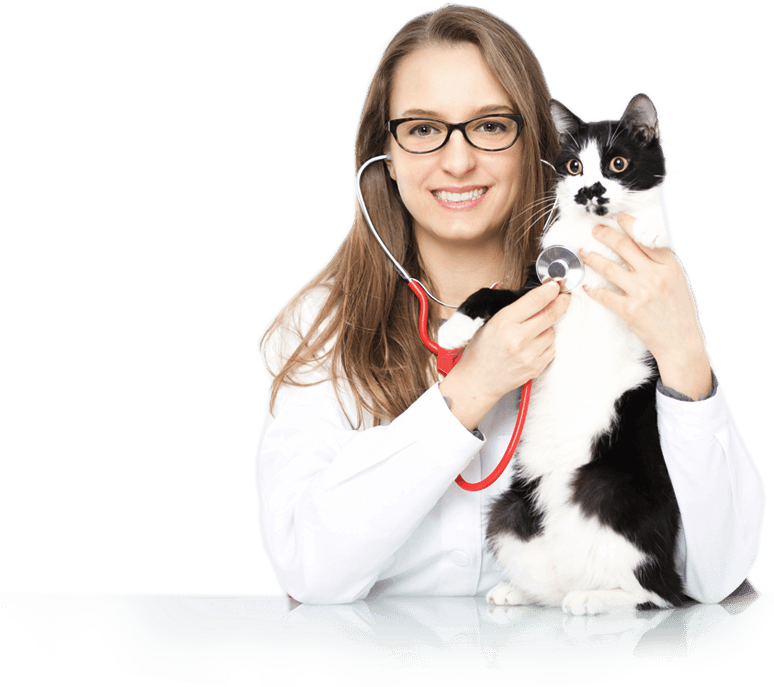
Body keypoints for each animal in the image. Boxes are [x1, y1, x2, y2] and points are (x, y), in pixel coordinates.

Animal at [440, 92, 696, 620]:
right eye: (574, 165)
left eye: (618, 163)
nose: (588, 191)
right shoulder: (540, 287)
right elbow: (494, 295)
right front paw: (455, 329)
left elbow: (653, 232)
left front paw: (642, 226)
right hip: (510, 511)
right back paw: (520, 592)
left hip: (612, 493)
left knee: (658, 594)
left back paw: (592, 598)